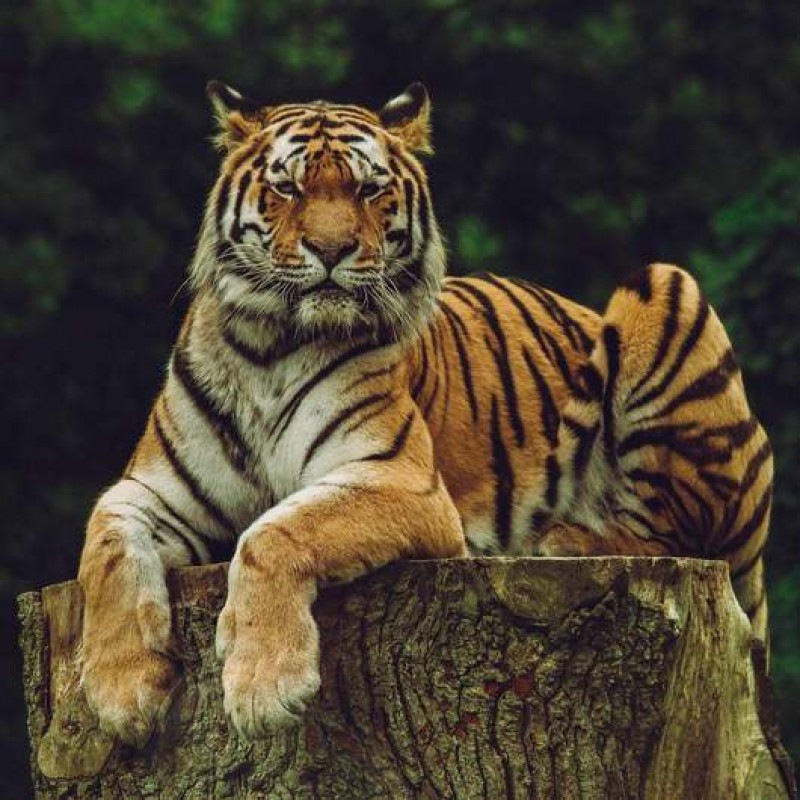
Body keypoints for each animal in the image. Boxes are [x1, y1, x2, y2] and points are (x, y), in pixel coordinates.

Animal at [77, 81, 773, 746]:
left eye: (368, 188)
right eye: (287, 187)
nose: (331, 249)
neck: (268, 348)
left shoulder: (399, 479)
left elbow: (273, 532)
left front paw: (264, 689)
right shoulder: (152, 489)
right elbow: (105, 551)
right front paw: (121, 695)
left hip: (666, 287)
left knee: (680, 533)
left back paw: (563, 537)